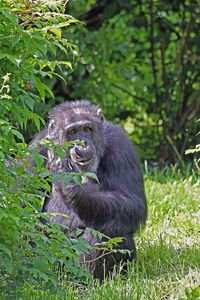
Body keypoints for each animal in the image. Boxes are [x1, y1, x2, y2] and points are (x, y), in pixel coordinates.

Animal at [28, 100, 146, 278]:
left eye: (87, 129)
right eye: (72, 132)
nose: (81, 143)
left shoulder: (121, 145)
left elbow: (132, 202)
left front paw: (72, 185)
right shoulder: (38, 147)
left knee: (109, 228)